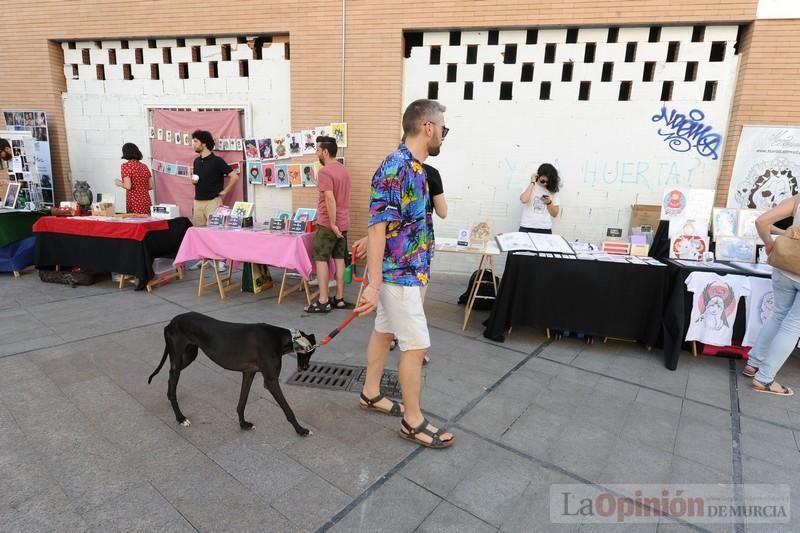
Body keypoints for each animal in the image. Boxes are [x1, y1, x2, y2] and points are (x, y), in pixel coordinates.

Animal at [148, 312, 316, 432]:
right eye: (310, 352)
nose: (305, 368)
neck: (278, 338)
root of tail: (171, 322)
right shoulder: (271, 381)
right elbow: (288, 409)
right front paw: (301, 430)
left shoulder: (249, 373)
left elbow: (242, 402)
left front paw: (243, 424)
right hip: (178, 358)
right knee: (172, 377)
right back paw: (180, 418)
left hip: (188, 356)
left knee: (170, 376)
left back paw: (171, 399)